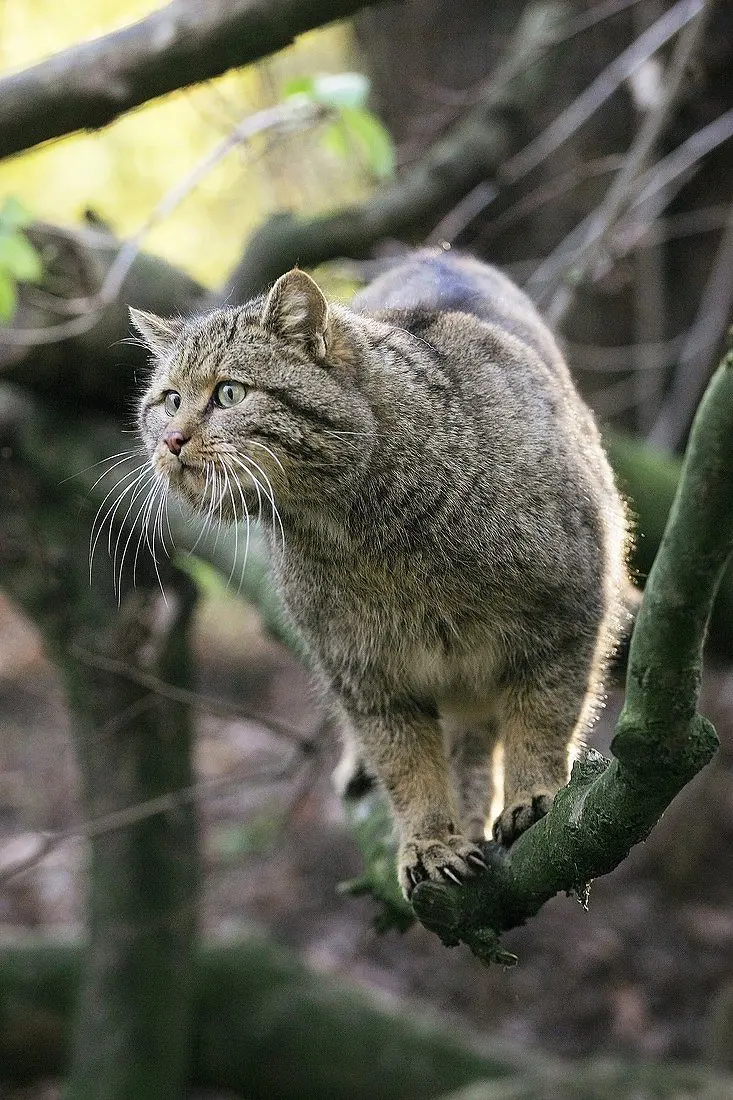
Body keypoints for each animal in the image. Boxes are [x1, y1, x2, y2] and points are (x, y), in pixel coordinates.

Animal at [131, 251, 629, 902]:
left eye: (229, 393)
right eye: (168, 400)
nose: (171, 439)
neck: (368, 534)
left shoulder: (569, 609)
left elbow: (544, 717)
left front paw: (534, 794)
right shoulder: (364, 671)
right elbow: (408, 768)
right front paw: (430, 842)